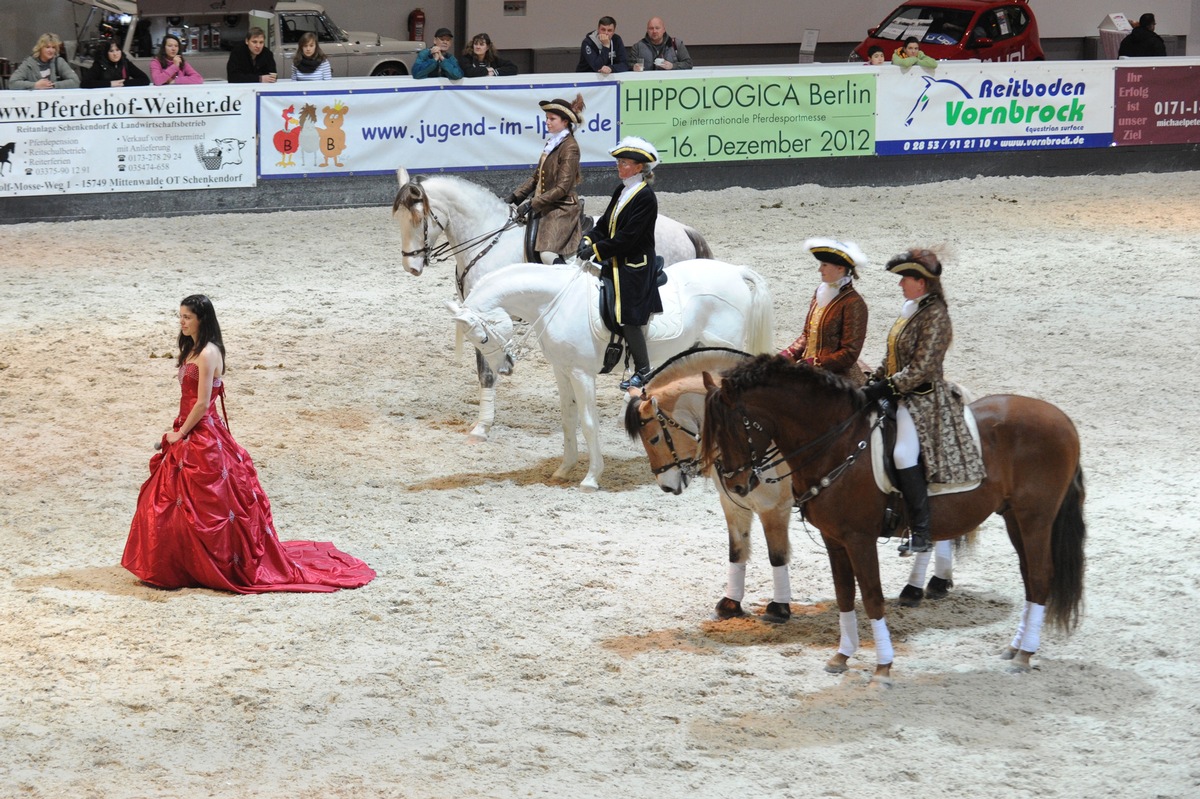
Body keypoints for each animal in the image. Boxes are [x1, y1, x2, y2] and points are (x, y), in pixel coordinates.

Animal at [393, 167, 710, 441]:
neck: (489, 242)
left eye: (419, 218)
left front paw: (482, 427)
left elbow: (488, 370)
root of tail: (685, 230)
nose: (411, 267)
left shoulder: (490, 316)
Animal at [451, 257, 777, 489]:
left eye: (482, 339)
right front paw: (564, 469)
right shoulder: (562, 370)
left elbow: (588, 422)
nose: (505, 368)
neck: (556, 302)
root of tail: (735, 272)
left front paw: (591, 478)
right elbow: (568, 419)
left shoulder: (582, 374)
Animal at [700, 355, 1084, 676]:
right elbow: (844, 595)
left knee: (1040, 577)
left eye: (733, 427)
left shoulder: (859, 538)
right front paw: (842, 656)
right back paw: (1016, 647)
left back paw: (1025, 653)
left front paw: (883, 665)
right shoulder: (834, 539)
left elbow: (871, 596)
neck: (837, 443)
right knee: (1030, 577)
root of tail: (1063, 419)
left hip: (1036, 518)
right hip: (1014, 517)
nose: (734, 485)